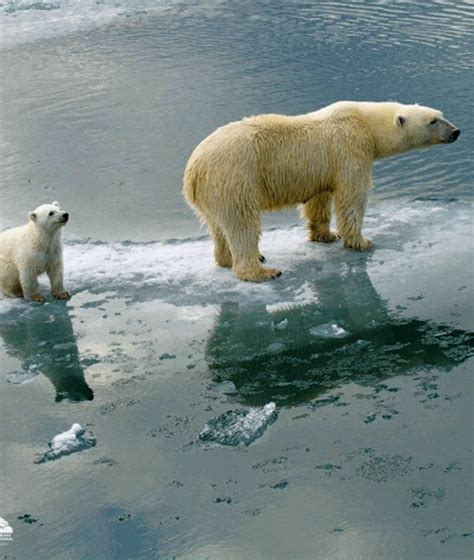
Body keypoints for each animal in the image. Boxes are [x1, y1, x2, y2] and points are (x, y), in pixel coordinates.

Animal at [183, 101, 462, 282]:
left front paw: (326, 235)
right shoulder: (350, 149)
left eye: (441, 113)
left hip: (213, 192)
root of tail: (194, 170)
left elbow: (319, 199)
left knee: (218, 226)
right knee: (242, 224)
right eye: (433, 121)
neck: (365, 122)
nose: (456, 131)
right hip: (235, 178)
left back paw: (226, 259)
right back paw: (262, 270)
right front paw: (361, 241)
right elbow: (352, 197)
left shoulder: (323, 169)